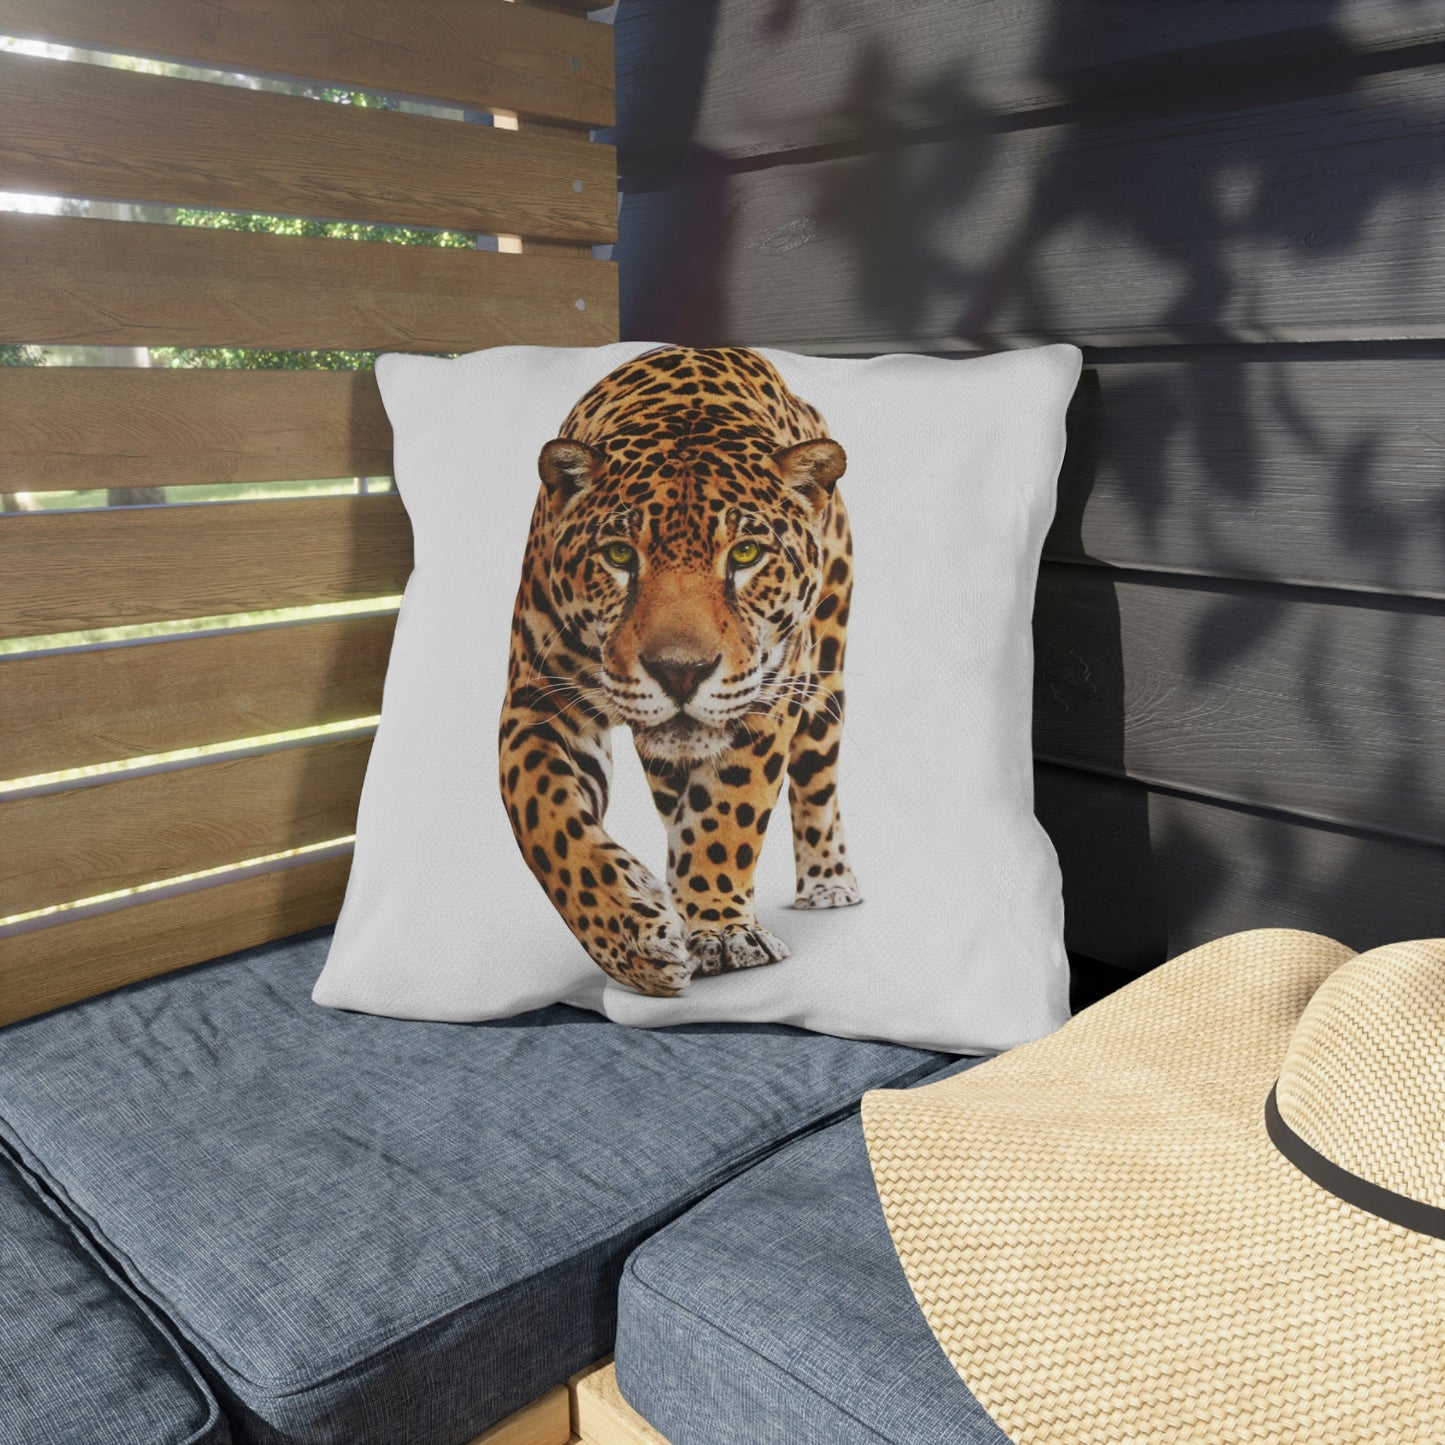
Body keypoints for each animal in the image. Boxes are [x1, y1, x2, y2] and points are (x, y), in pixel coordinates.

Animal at [499, 346, 860, 997]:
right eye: (620, 555)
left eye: (746, 554)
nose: (681, 673)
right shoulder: (538, 699)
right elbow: (548, 823)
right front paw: (634, 941)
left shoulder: (764, 699)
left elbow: (729, 816)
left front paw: (721, 930)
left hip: (823, 678)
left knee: (817, 778)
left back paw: (828, 882)